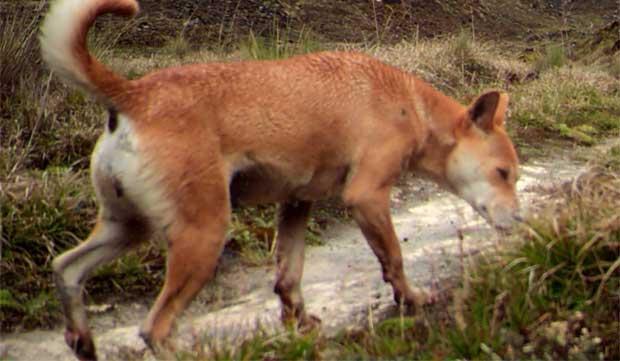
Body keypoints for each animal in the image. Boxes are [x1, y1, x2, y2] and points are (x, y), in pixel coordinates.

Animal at [41, 0, 520, 358]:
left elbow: (289, 278)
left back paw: (82, 340)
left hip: (127, 228)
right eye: (503, 174)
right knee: (154, 328)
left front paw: (299, 323)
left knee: (67, 269)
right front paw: (412, 298)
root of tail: (135, 94)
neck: (411, 105)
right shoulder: (367, 197)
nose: (520, 224)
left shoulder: (296, 204)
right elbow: (394, 261)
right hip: (203, 236)